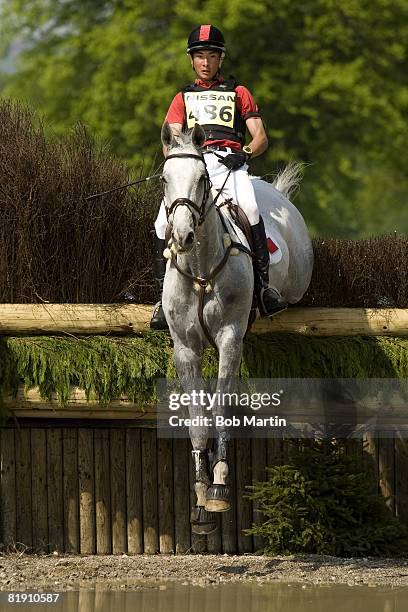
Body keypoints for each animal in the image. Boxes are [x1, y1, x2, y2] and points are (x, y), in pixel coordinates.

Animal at [159, 122, 312, 532]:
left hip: (298, 276)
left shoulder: (230, 338)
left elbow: (221, 405)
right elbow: (197, 418)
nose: (182, 236)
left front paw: (218, 486)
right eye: (164, 179)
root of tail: (275, 190)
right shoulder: (185, 348)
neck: (199, 270)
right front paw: (199, 498)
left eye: (201, 179)